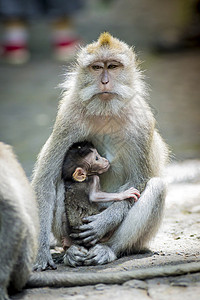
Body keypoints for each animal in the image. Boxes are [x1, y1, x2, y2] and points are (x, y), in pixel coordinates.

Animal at [32, 32, 168, 270]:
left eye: (112, 66)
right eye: (96, 67)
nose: (104, 82)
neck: (106, 111)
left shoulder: (141, 122)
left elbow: (139, 180)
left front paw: (104, 222)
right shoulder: (68, 119)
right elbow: (46, 181)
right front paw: (41, 252)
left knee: (157, 187)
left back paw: (108, 248)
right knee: (60, 182)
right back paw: (71, 251)